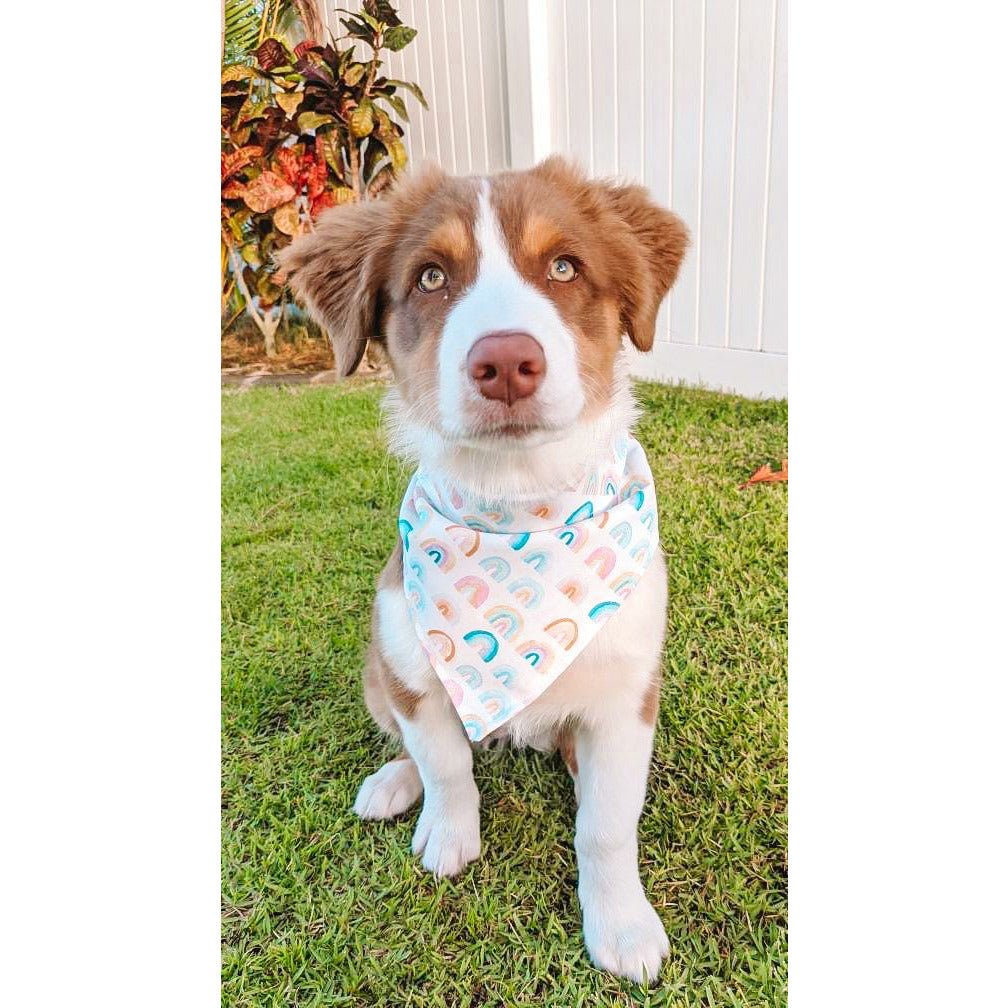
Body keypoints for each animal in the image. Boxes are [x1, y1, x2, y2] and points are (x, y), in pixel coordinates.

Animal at [280, 157, 689, 983]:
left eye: (565, 267)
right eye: (431, 278)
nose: (504, 364)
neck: (519, 508)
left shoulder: (627, 698)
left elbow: (607, 823)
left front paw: (621, 923)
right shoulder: (409, 665)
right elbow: (443, 762)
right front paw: (447, 831)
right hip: (376, 669)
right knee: (410, 743)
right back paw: (391, 784)